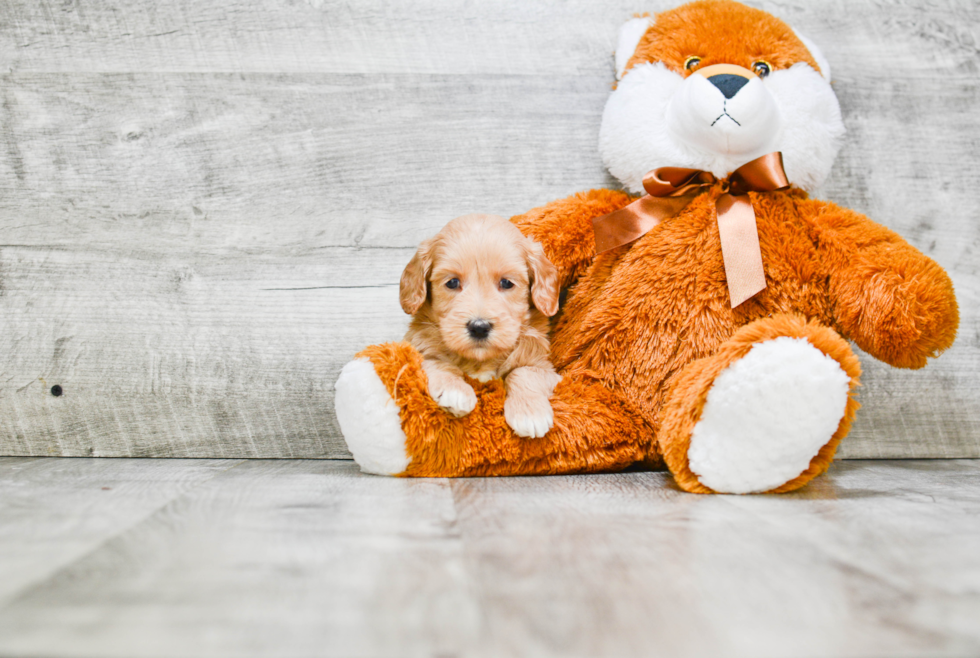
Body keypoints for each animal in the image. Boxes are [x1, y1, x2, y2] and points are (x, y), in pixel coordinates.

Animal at [402, 214, 564, 436]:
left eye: (506, 283)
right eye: (452, 282)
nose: (479, 327)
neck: (480, 360)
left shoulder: (547, 368)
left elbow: (525, 371)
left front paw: (530, 412)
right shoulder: (415, 348)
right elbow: (435, 360)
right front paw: (455, 389)